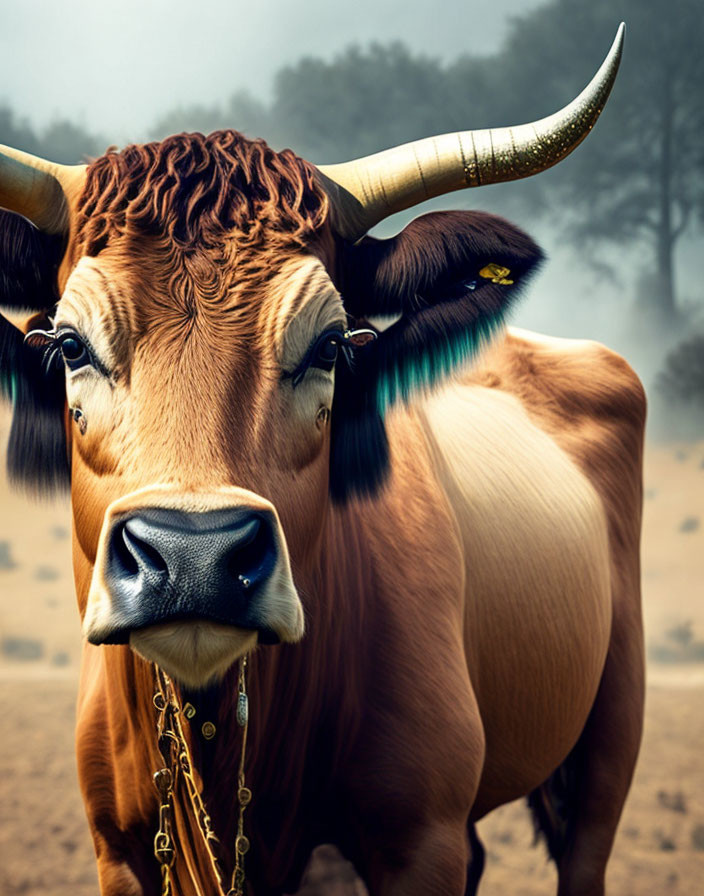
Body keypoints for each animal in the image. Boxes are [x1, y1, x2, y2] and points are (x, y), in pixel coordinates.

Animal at [0, 24, 644, 896]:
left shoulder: (419, 843)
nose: (194, 559)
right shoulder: (119, 851)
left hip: (610, 739)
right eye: (69, 345)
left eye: (331, 346)